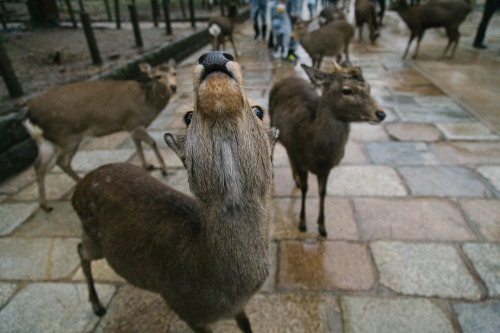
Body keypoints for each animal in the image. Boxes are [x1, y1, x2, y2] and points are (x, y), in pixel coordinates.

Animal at [25, 59, 179, 210]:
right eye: (158, 76)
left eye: (174, 72)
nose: (173, 87)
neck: (147, 106)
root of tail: (30, 115)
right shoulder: (133, 123)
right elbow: (151, 142)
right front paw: (163, 169)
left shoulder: (130, 127)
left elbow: (137, 143)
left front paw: (147, 165)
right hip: (67, 136)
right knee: (61, 161)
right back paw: (80, 182)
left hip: (47, 141)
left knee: (39, 165)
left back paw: (45, 204)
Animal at [72, 51, 280, 332]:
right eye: (188, 116)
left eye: (259, 110)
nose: (214, 55)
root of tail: (78, 189)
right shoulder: (186, 310)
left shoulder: (238, 309)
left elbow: (247, 326)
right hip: (94, 239)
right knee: (80, 249)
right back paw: (97, 305)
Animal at [268, 60, 384, 236]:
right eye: (347, 90)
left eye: (369, 87)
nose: (381, 114)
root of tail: (285, 78)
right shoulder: (302, 161)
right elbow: (306, 189)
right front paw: (302, 223)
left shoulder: (326, 168)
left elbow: (322, 192)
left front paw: (322, 227)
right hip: (270, 119)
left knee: (288, 154)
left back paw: (295, 179)